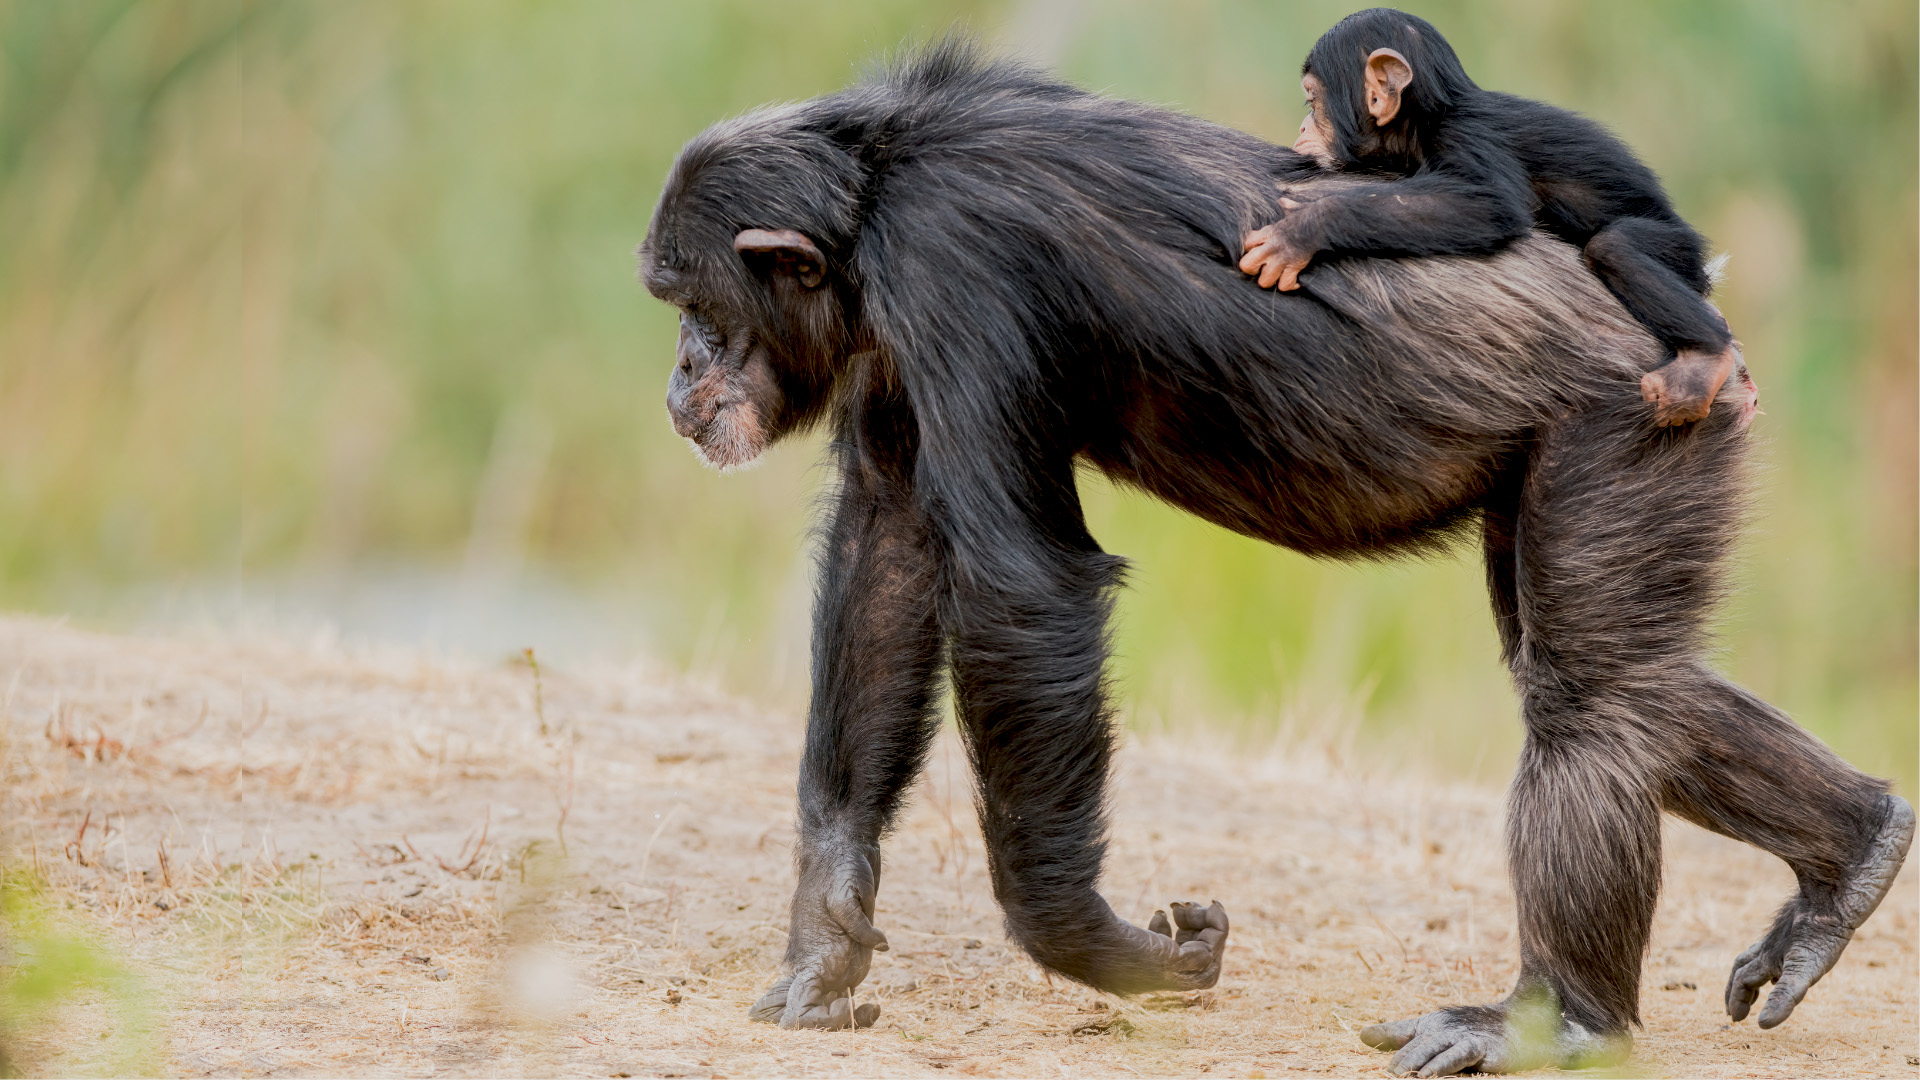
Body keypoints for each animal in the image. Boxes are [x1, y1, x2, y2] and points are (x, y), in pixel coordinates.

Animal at [1236, 10, 1751, 428]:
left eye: (1311, 102)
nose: (1303, 126)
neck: (1430, 116)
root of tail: (1705, 267)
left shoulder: (1469, 136)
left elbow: (1491, 204)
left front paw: (1303, 230)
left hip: (1677, 246)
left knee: (1617, 246)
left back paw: (1705, 357)